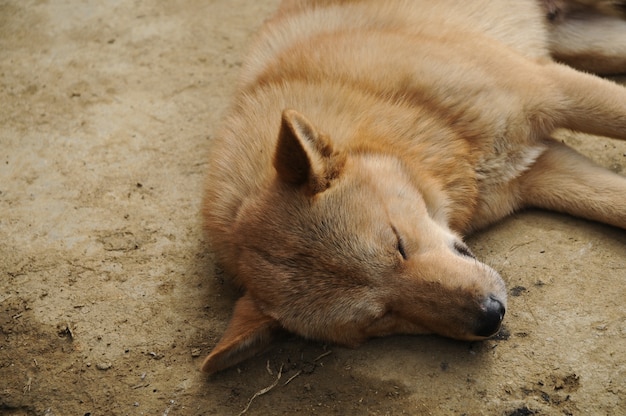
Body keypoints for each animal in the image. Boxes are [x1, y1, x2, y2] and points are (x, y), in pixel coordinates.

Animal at [199, 0, 624, 376]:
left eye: (398, 244)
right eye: (382, 316)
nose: (490, 317)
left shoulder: (551, 89)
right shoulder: (541, 171)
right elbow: (616, 201)